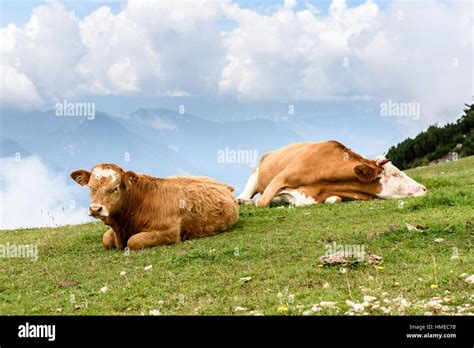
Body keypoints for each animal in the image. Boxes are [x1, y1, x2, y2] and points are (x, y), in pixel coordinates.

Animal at [69, 164, 241, 250]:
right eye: (91, 188)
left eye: (115, 188)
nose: (95, 209)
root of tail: (224, 185)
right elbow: (106, 239)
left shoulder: (170, 231)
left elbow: (133, 241)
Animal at [239, 141, 428, 208]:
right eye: (395, 174)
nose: (424, 189)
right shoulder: (280, 178)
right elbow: (262, 202)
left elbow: (335, 199)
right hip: (255, 175)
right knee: (247, 195)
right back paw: (242, 200)